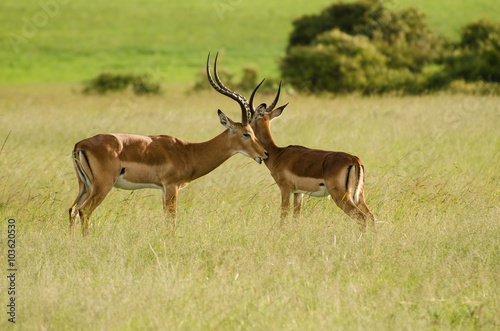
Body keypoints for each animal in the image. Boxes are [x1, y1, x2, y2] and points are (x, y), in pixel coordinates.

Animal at [69, 53, 270, 237]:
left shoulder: (164, 189)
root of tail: (80, 144)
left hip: (85, 186)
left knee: (72, 210)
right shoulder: (172, 186)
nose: (265, 154)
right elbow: (171, 220)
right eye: (246, 133)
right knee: (84, 211)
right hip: (102, 186)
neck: (189, 151)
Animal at [205, 61, 374, 231]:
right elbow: (296, 218)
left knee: (362, 218)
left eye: (250, 121)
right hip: (359, 196)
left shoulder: (285, 189)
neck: (277, 153)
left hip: (341, 197)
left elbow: (283, 216)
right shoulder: (299, 193)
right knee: (371, 216)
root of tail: (354, 160)